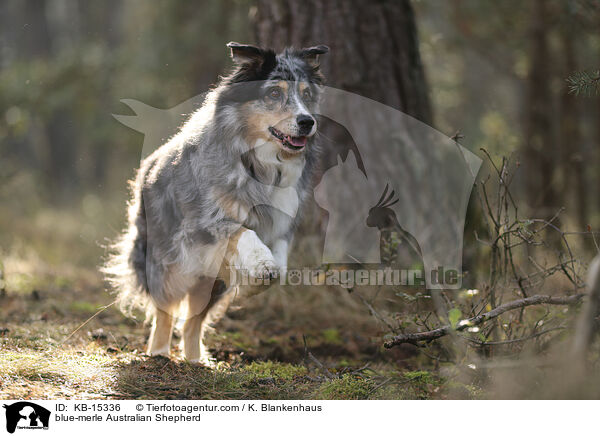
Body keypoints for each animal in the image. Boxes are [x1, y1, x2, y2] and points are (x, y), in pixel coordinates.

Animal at [103, 42, 328, 364]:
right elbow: (244, 233)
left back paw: (196, 360)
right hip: (165, 262)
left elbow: (280, 267)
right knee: (165, 310)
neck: (262, 164)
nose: (307, 121)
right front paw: (261, 267)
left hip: (209, 284)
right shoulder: (205, 222)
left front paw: (251, 285)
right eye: (274, 93)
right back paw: (158, 353)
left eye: (307, 94)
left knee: (193, 320)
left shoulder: (280, 227)